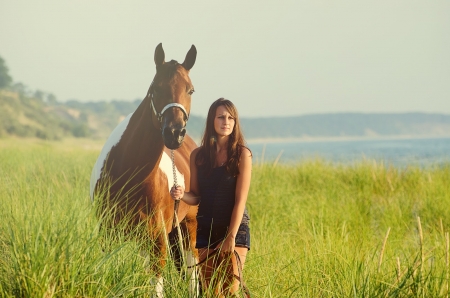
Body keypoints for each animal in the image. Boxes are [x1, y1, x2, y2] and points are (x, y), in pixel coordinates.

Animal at [89, 43, 198, 296]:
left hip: (189, 226)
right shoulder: (107, 234)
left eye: (190, 90)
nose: (174, 133)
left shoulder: (158, 239)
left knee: (192, 269)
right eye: (155, 89)